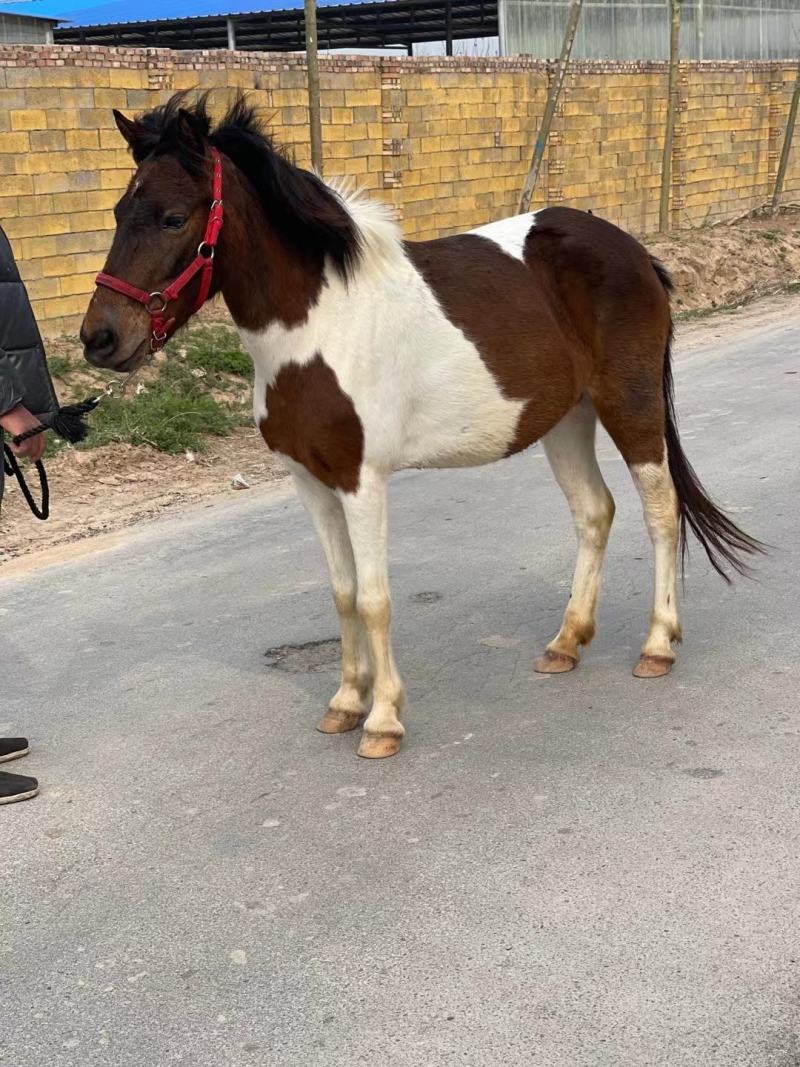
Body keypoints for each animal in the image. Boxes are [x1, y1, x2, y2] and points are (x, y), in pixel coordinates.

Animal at [80, 93, 761, 759]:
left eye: (174, 218)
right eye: (117, 211)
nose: (100, 339)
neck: (318, 328)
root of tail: (635, 252)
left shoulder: (361, 481)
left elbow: (374, 599)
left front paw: (382, 720)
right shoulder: (309, 482)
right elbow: (343, 593)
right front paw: (345, 703)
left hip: (630, 405)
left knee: (660, 511)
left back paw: (657, 645)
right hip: (566, 420)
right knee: (595, 513)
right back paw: (566, 643)